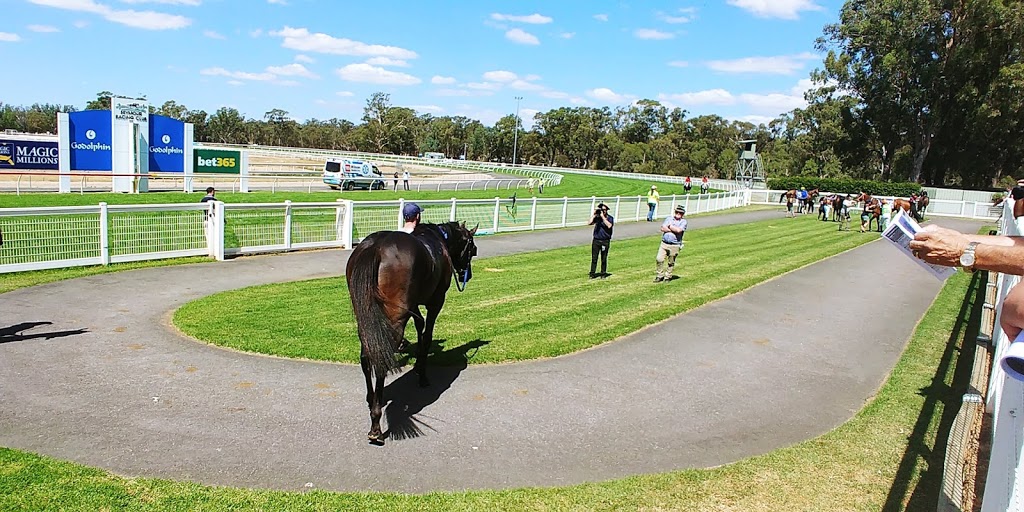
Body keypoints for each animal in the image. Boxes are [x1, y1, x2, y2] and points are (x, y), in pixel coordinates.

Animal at [346, 222, 477, 442]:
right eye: (471, 247)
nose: (467, 274)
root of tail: (376, 246)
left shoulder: (413, 304)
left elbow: (419, 324)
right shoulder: (436, 301)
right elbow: (427, 333)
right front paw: (422, 374)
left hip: (365, 315)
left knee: (366, 357)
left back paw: (372, 399)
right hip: (395, 318)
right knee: (381, 361)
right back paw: (375, 424)